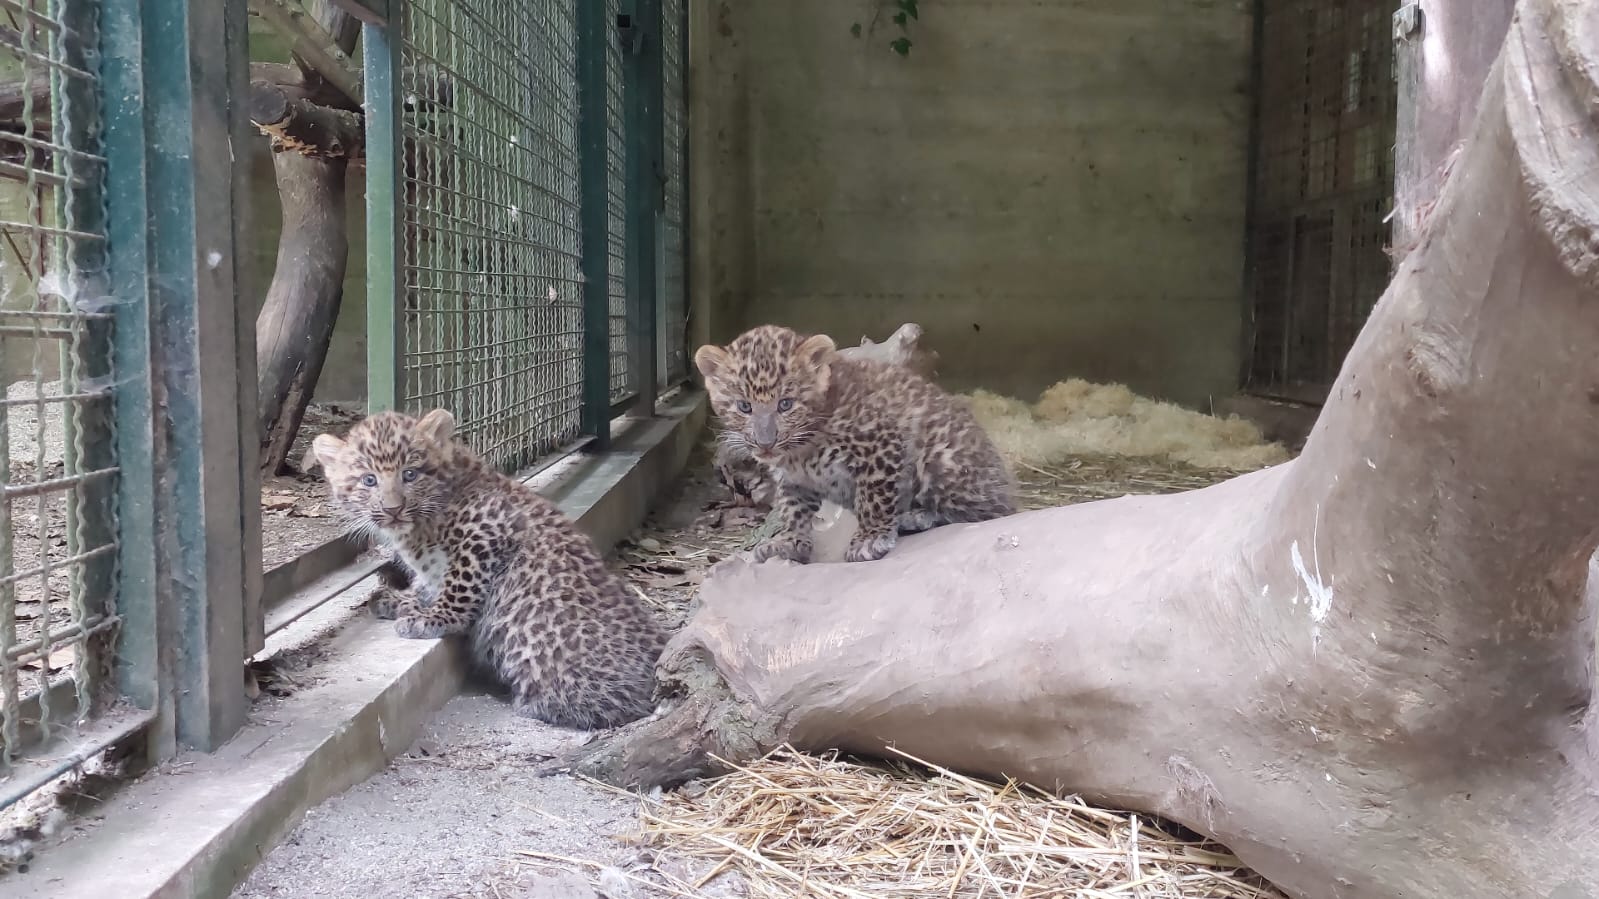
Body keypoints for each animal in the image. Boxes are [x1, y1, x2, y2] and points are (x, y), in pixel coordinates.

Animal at [310, 408, 667, 730]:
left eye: (410, 474)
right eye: (368, 480)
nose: (393, 509)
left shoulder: (487, 534)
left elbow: (459, 587)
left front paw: (430, 619)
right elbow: (427, 585)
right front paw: (396, 600)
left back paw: (535, 705)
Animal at [694, 324, 1016, 564]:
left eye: (785, 404)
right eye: (744, 407)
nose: (765, 443)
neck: (800, 450)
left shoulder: (880, 444)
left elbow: (873, 499)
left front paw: (870, 539)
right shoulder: (795, 479)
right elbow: (792, 508)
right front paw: (789, 541)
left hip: (942, 458)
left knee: (986, 514)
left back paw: (916, 516)